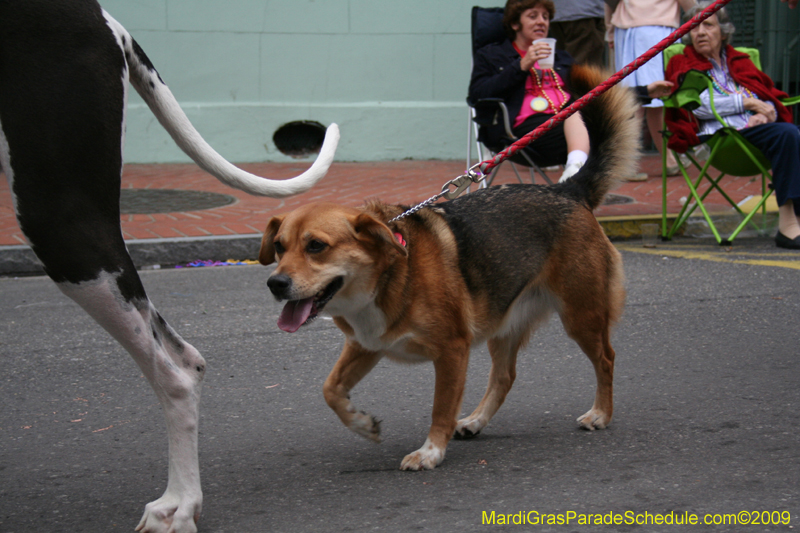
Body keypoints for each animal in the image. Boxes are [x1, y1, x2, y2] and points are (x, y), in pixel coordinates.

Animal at [260, 65, 640, 470]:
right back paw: (475, 421)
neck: (389, 277)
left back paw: (601, 413)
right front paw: (362, 424)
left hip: (581, 315)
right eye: (280, 246)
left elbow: (440, 408)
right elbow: (330, 389)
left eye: (316, 246)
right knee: (504, 377)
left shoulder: (452, 352)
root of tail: (565, 190)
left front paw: (430, 451)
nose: (275, 284)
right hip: (506, 323)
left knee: (606, 358)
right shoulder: (366, 346)